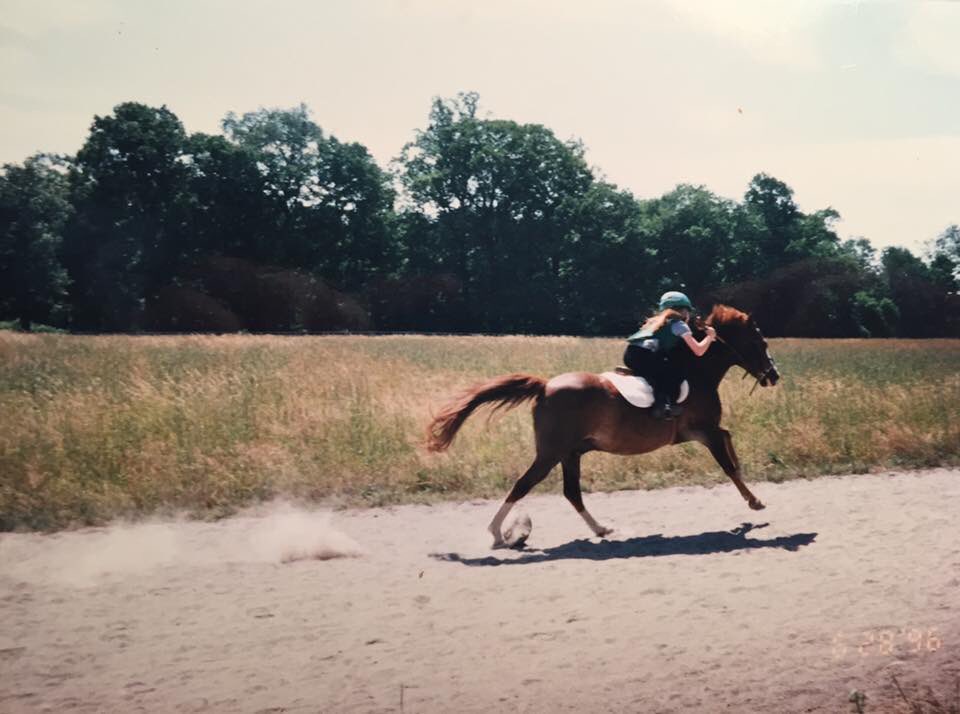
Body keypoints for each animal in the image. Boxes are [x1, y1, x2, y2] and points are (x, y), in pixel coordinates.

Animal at [425, 304, 781, 548]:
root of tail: (545, 386)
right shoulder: (703, 431)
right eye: (758, 342)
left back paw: (600, 529)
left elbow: (729, 443)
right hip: (551, 453)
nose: (774, 376)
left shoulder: (700, 432)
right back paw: (498, 534)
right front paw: (755, 501)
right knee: (523, 485)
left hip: (570, 453)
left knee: (571, 492)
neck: (696, 372)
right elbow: (727, 465)